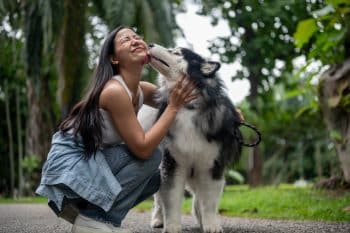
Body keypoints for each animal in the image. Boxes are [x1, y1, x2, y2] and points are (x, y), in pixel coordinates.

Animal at [138, 44, 242, 233]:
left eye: (176, 52)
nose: (150, 44)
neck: (188, 107)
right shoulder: (172, 164)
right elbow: (171, 200)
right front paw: (172, 226)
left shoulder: (211, 166)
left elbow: (208, 202)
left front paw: (211, 224)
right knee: (158, 199)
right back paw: (158, 219)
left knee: (197, 197)